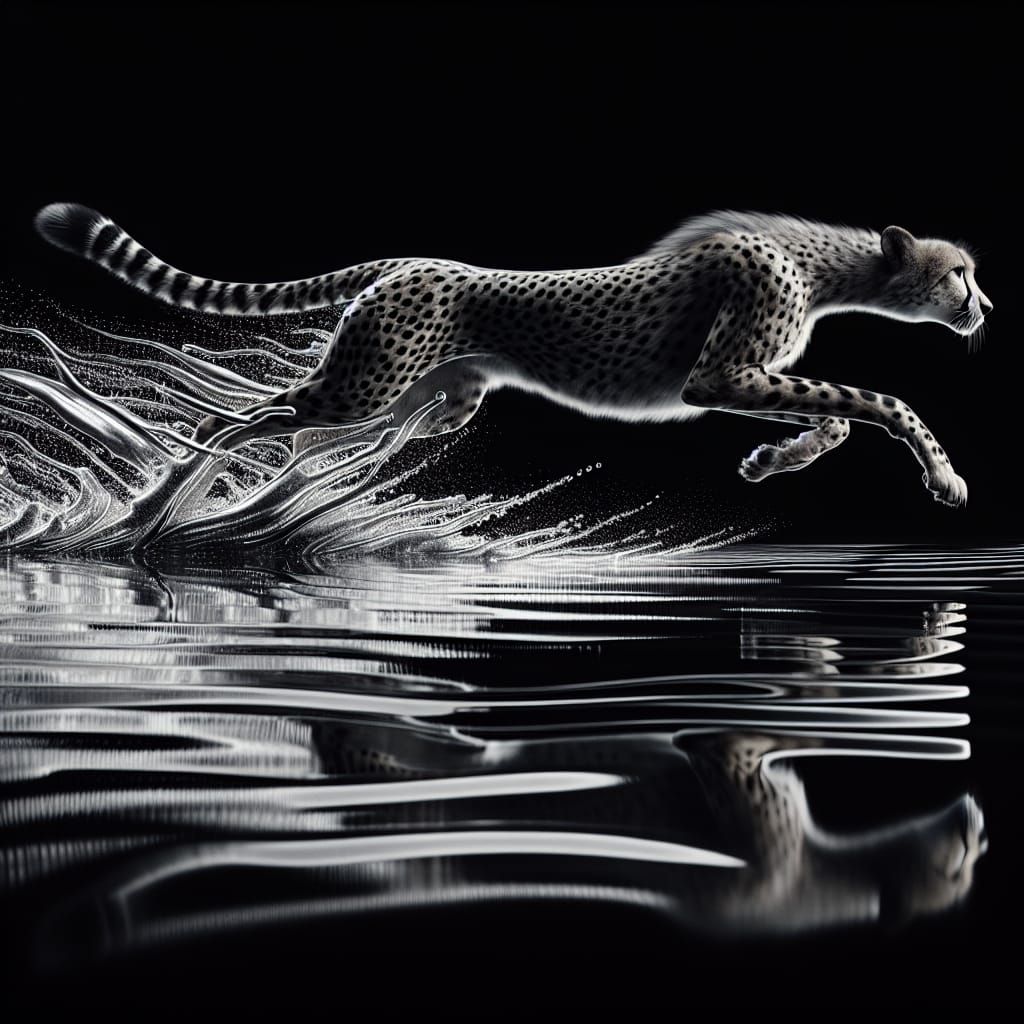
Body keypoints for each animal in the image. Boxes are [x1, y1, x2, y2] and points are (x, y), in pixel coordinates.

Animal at [35, 203, 992, 505]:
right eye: (960, 274)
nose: (987, 308)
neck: (823, 265)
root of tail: (409, 260)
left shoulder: (747, 378)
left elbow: (839, 415)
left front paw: (771, 460)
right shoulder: (723, 374)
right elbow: (880, 401)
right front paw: (945, 476)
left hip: (434, 401)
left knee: (313, 434)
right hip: (368, 383)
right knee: (247, 416)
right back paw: (185, 483)